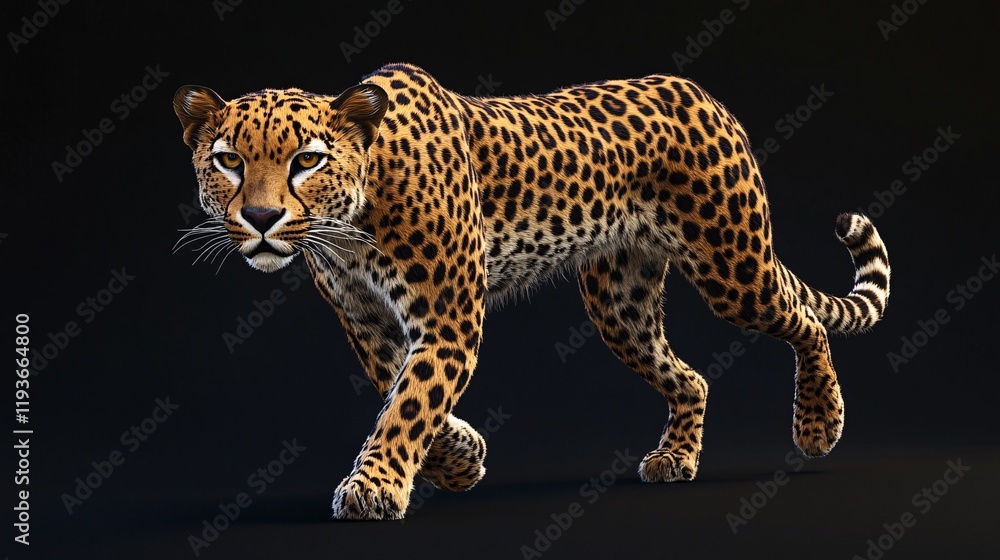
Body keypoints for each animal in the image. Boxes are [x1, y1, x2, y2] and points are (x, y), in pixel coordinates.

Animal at [172, 62, 890, 520]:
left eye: (307, 161)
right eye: (229, 160)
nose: (260, 218)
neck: (351, 225)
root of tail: (704, 94)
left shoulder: (448, 320)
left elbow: (409, 404)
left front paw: (374, 487)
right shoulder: (367, 321)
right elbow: (400, 392)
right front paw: (460, 458)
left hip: (732, 264)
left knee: (805, 323)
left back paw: (819, 424)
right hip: (620, 303)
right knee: (691, 377)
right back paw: (675, 457)